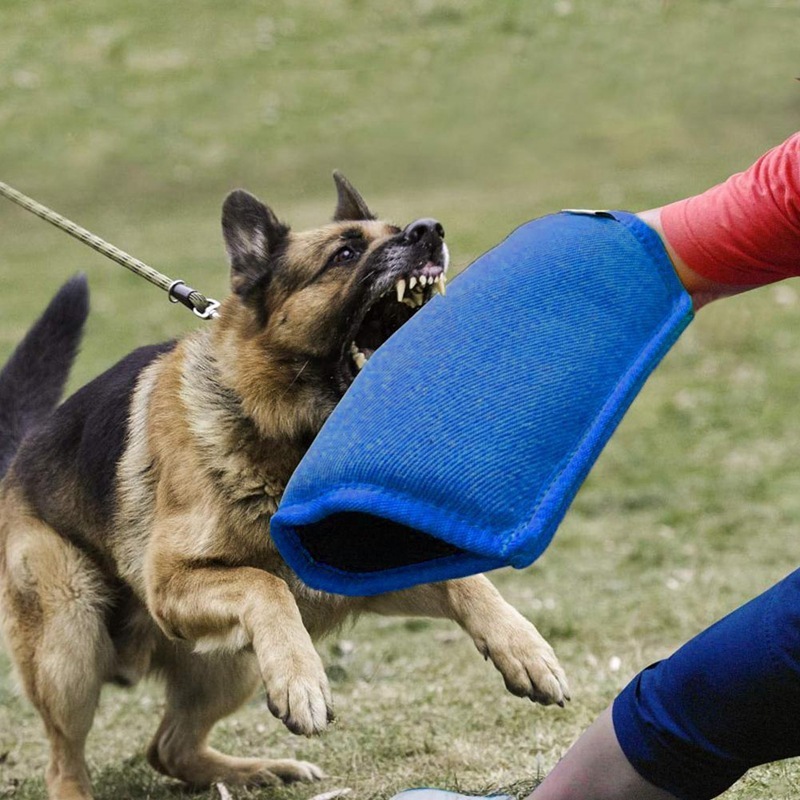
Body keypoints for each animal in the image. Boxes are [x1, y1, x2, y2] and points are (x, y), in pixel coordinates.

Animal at [0, 177, 568, 800]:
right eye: (344, 254)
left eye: (397, 232)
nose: (429, 230)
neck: (291, 436)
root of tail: (19, 455)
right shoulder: (173, 584)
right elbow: (263, 584)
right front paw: (303, 680)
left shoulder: (354, 573)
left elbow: (469, 580)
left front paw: (524, 648)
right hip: (70, 640)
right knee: (65, 760)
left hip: (230, 665)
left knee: (169, 748)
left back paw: (258, 770)